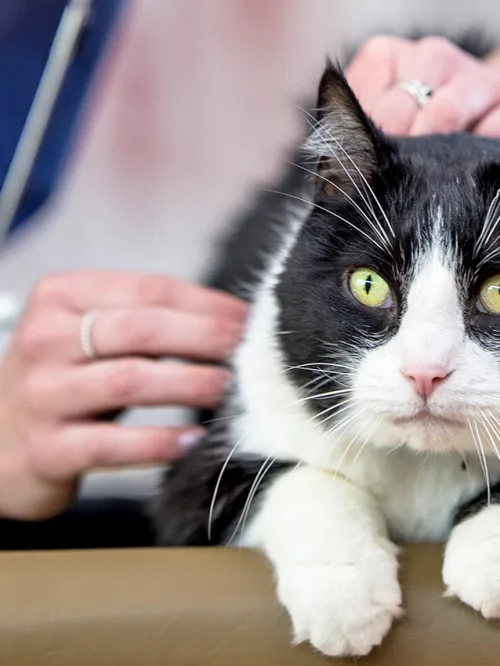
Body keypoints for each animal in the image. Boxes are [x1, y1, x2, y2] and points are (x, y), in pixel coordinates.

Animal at [151, 65, 500, 656]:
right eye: (368, 285)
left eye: (498, 293)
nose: (425, 371)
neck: (421, 461)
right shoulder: (199, 477)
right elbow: (297, 478)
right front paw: (345, 593)